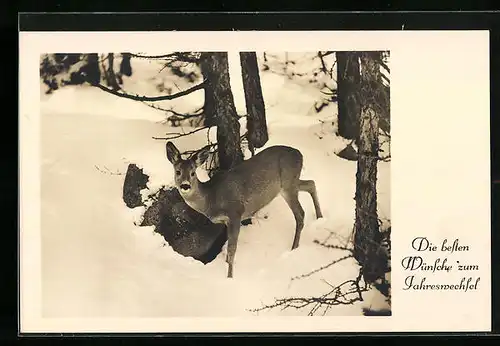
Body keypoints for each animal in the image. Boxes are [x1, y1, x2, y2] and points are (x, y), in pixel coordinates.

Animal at [166, 141, 324, 278]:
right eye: (178, 171)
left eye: (193, 173)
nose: (185, 185)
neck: (211, 198)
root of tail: (300, 154)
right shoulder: (226, 222)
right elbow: (229, 248)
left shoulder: (235, 212)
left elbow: (232, 249)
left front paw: (229, 277)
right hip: (290, 183)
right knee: (311, 183)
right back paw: (320, 218)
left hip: (288, 183)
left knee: (300, 213)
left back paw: (294, 248)